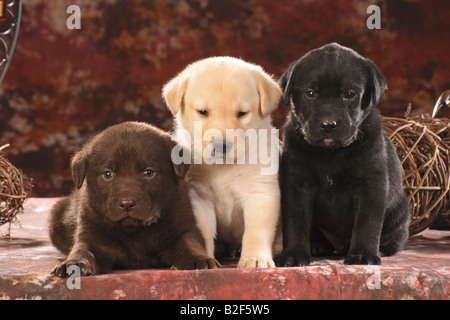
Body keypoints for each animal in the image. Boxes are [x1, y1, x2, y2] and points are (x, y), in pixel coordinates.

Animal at [162, 57, 282, 268]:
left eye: (242, 113)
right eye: (202, 112)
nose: (221, 145)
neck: (224, 166)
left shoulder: (261, 192)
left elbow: (256, 230)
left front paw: (255, 258)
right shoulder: (198, 197)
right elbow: (203, 234)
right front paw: (203, 258)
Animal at [276, 43, 410, 266]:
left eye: (349, 94)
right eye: (310, 93)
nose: (328, 124)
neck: (331, 153)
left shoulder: (371, 185)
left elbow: (368, 223)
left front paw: (363, 255)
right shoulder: (296, 184)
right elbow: (296, 222)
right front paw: (293, 254)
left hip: (400, 212)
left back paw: (383, 248)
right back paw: (317, 245)